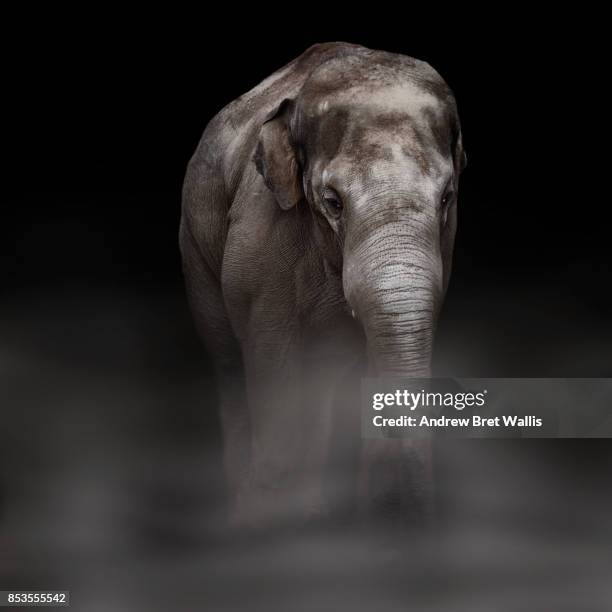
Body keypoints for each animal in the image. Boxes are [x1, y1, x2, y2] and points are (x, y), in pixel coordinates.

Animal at [179, 41, 466, 524]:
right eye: (333, 201)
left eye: (446, 197)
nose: (419, 517)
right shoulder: (260, 240)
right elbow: (272, 358)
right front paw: (269, 519)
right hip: (195, 249)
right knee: (229, 362)